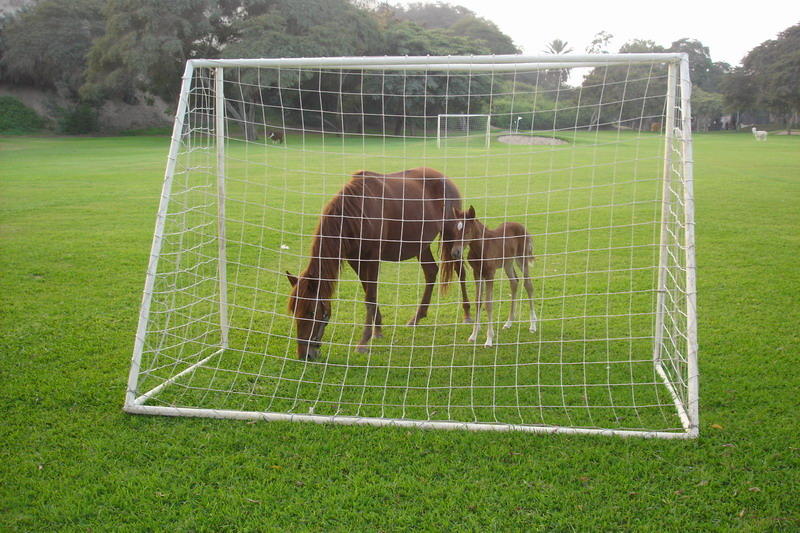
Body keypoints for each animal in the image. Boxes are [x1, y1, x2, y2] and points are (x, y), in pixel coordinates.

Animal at [288, 168, 472, 360]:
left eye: (311, 312)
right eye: (294, 311)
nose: (305, 354)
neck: (358, 211)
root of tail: (445, 179)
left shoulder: (373, 258)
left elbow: (370, 297)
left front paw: (363, 341)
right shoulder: (356, 260)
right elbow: (369, 292)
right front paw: (377, 329)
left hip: (451, 236)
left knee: (460, 271)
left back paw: (467, 313)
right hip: (421, 244)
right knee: (430, 271)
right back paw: (417, 317)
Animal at [450, 206, 536, 348]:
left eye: (467, 231)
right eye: (455, 231)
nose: (455, 253)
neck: (480, 248)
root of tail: (522, 226)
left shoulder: (490, 273)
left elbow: (488, 303)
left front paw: (489, 339)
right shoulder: (477, 273)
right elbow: (478, 301)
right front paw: (473, 335)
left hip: (521, 259)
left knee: (528, 285)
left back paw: (533, 325)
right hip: (507, 263)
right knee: (514, 283)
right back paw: (508, 323)